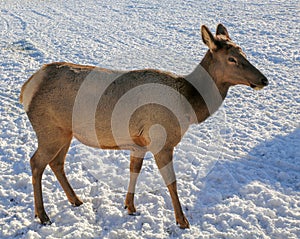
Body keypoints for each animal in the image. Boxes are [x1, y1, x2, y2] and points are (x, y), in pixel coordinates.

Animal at [19, 23, 268, 228]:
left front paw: (130, 206)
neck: (189, 106)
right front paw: (182, 221)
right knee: (36, 162)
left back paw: (76, 200)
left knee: (56, 163)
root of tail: (27, 87)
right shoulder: (162, 142)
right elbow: (171, 182)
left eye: (244, 53)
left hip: (65, 132)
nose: (263, 79)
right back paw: (43, 215)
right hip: (49, 130)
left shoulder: (138, 143)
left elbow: (134, 171)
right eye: (231, 59)